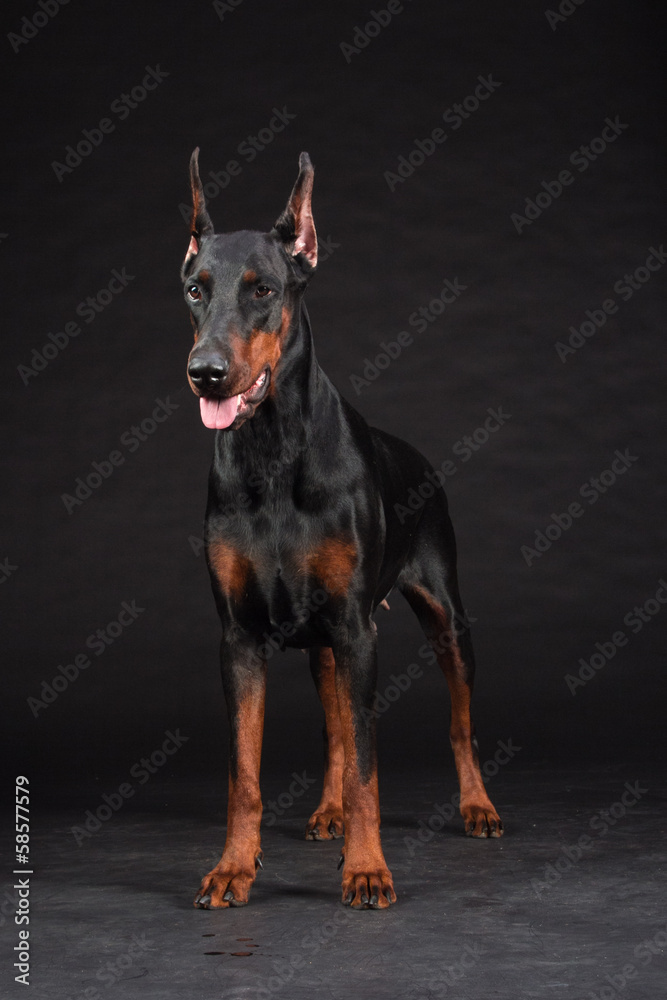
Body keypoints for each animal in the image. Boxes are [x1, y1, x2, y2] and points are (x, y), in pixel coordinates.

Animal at [183, 152, 500, 912]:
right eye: (194, 290)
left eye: (263, 290)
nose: (205, 373)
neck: (271, 451)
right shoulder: (239, 637)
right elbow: (245, 772)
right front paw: (233, 868)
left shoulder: (360, 630)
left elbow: (368, 768)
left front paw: (367, 870)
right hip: (325, 638)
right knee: (333, 729)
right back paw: (325, 810)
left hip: (443, 615)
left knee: (459, 724)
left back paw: (476, 806)